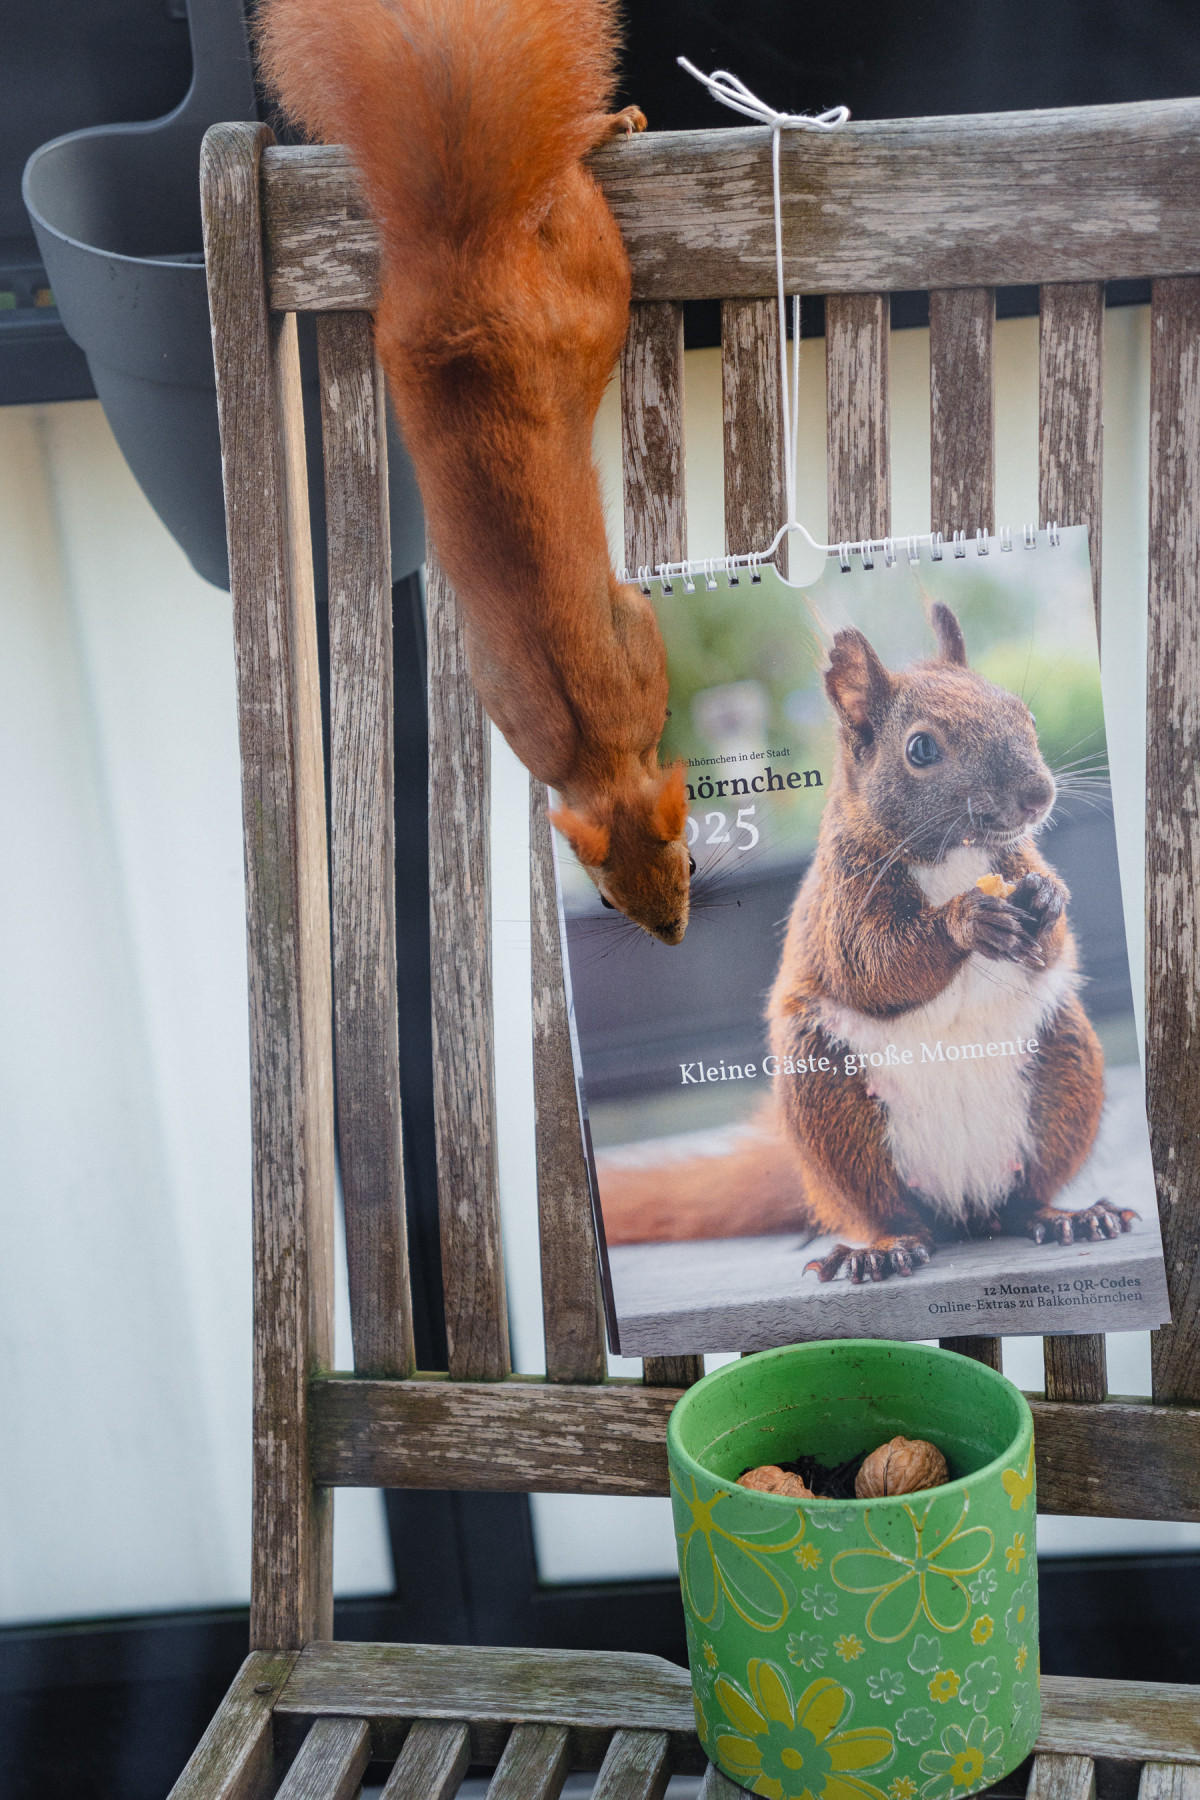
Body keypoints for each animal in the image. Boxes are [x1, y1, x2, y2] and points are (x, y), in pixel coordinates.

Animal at [257, 0, 690, 943]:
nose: (673, 935)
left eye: (686, 862)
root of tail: (460, 255)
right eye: (608, 896)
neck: (593, 756)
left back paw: (607, 128)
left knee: (569, 185)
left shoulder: (630, 643)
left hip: (593, 282)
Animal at [604, 608, 1129, 1281]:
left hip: (1065, 1067)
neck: (952, 856)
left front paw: (1044, 897)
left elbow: (1051, 942)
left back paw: (1063, 1215)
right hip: (829, 1104)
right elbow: (875, 969)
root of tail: (962, 1203)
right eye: (921, 748)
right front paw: (964, 921)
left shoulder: (1013, 860)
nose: (1037, 796)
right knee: (886, 1208)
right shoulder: (844, 903)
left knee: (1023, 1198)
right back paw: (883, 1248)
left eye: (1026, 715)